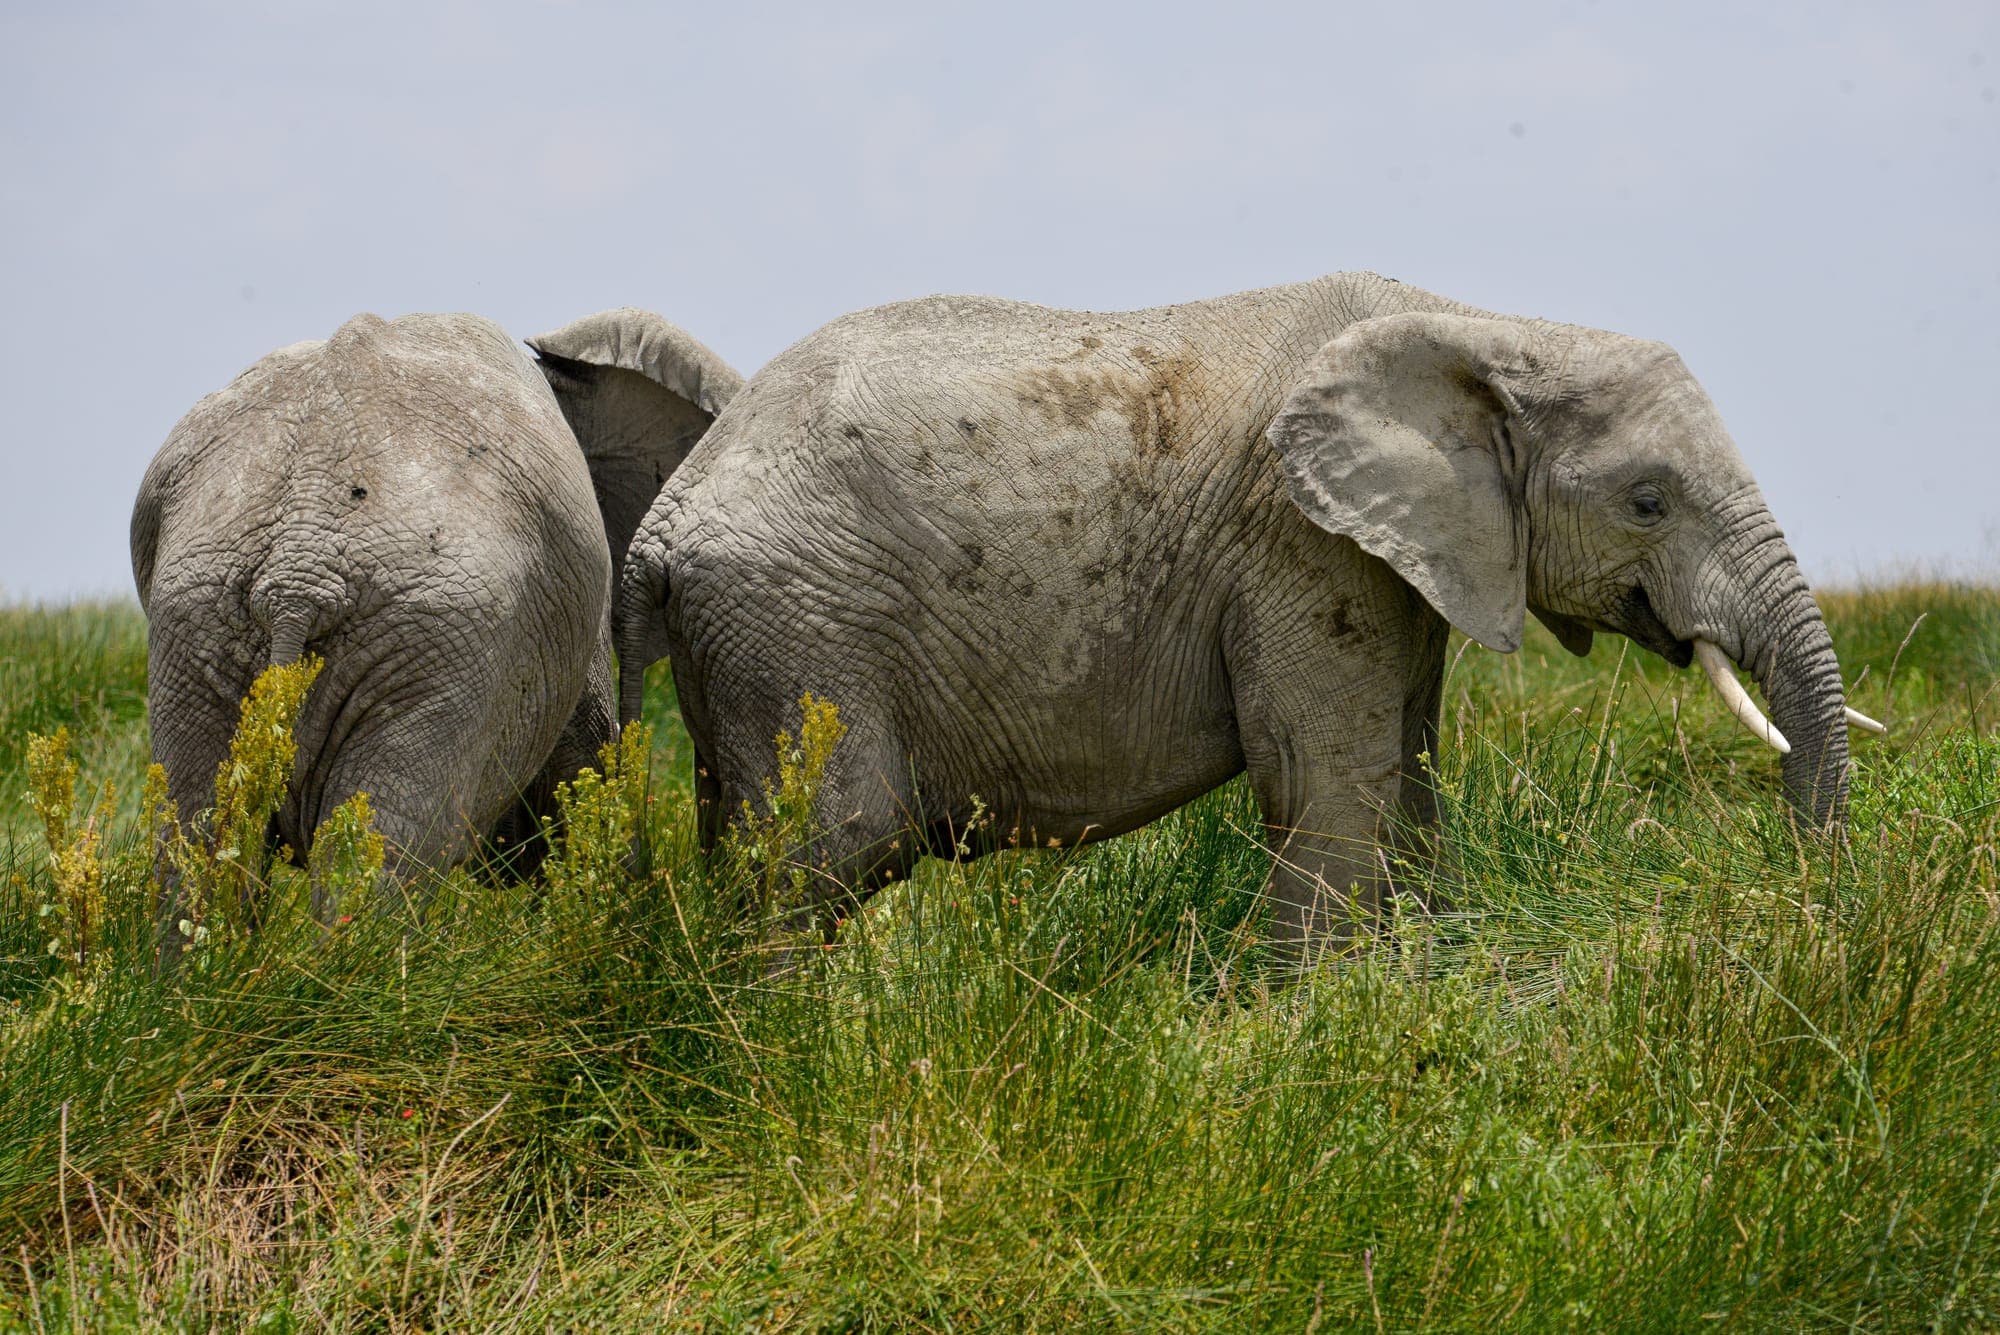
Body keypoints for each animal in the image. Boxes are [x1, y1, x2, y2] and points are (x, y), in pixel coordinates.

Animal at [132, 306, 740, 932]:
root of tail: (299, 568)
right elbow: (582, 763)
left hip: (203, 620)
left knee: (201, 839)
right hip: (435, 635)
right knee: (379, 852)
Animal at [615, 271, 1881, 956]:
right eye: (1646, 500)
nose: (1805, 898)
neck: (1480, 326)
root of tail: (662, 524)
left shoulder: (1397, 556)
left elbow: (1405, 766)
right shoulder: (1296, 540)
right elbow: (1323, 775)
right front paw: (1302, 1025)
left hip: (746, 642)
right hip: (799, 626)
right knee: (823, 856)